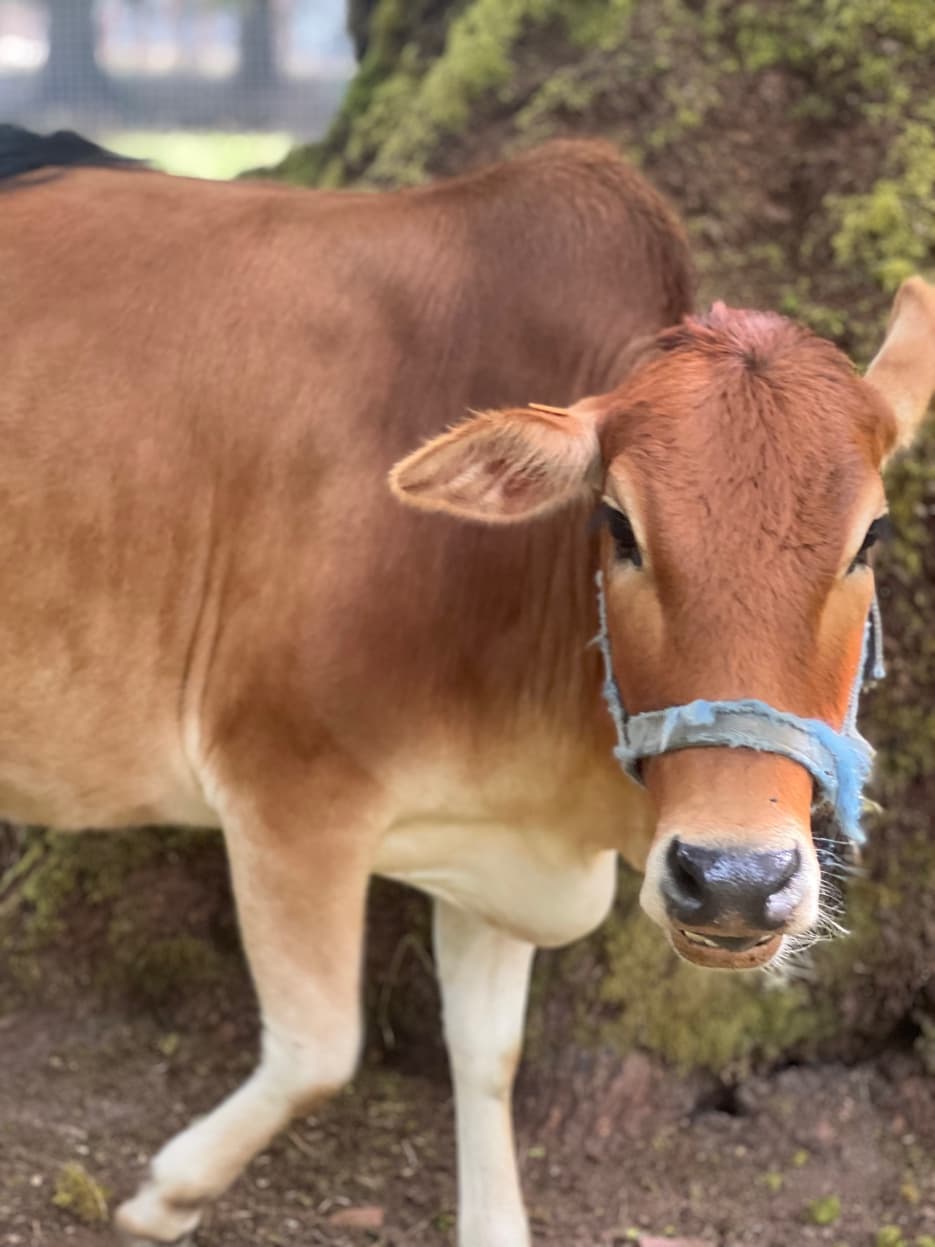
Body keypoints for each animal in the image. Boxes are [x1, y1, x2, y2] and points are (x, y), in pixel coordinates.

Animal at [0, 126, 933, 1247]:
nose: (736, 880)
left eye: (867, 536)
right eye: (618, 524)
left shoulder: (488, 844)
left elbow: (487, 1053)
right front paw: (167, 1189)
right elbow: (317, 1047)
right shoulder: (287, 789)